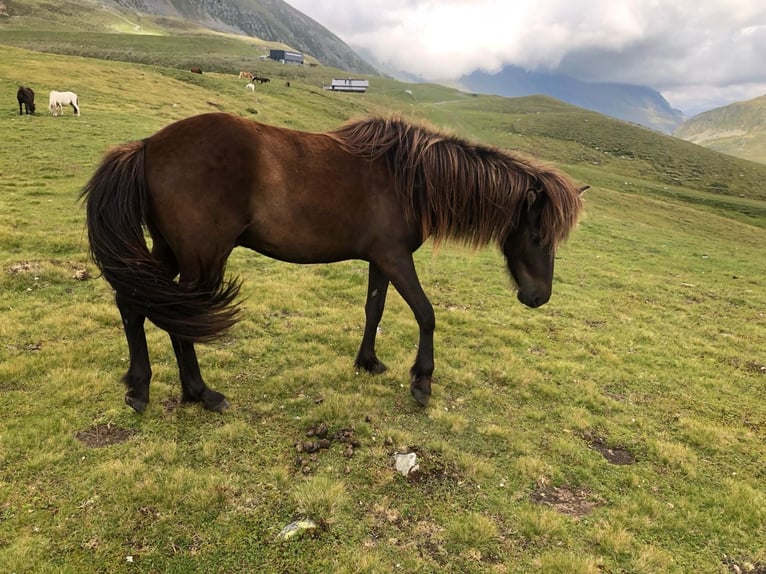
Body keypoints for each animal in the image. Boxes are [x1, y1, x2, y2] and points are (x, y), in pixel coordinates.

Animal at [81, 113, 585, 414]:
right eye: (537, 235)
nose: (539, 297)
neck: (407, 178)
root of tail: (148, 145)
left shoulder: (381, 259)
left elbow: (374, 309)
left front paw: (368, 361)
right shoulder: (396, 258)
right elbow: (426, 314)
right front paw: (421, 382)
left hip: (167, 251)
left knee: (135, 305)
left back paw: (140, 388)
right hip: (203, 257)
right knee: (179, 319)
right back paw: (201, 394)